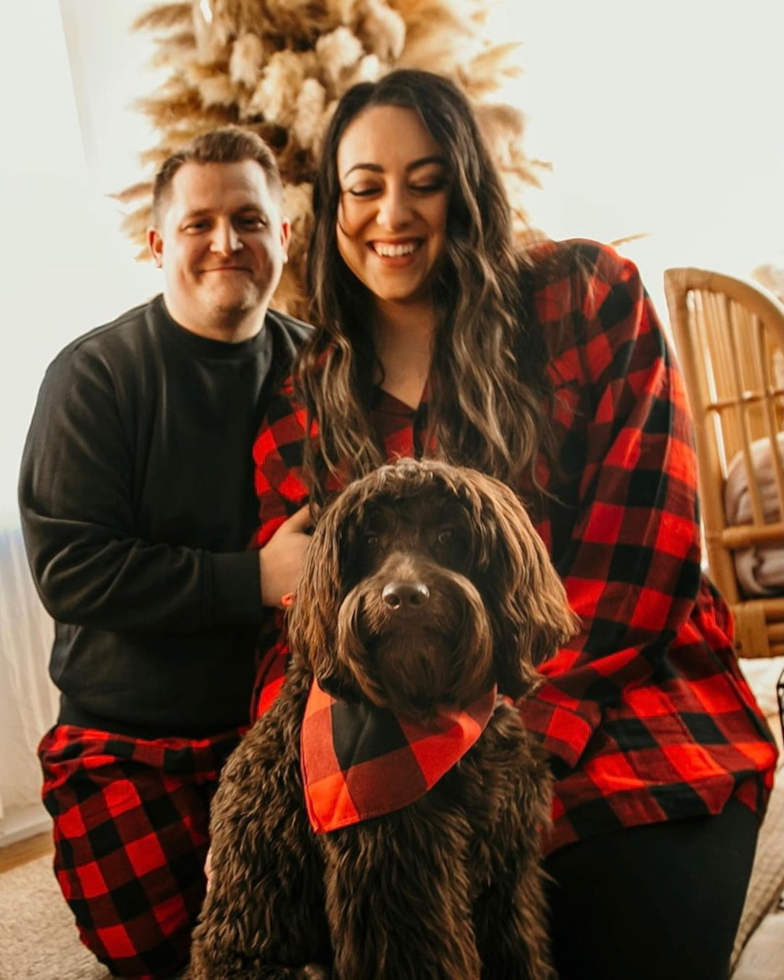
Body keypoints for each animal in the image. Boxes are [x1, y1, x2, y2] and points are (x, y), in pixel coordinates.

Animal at [187, 460, 572, 980]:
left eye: (449, 535)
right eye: (369, 541)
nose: (403, 596)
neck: (425, 708)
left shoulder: (506, 861)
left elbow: (520, 944)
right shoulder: (396, 876)